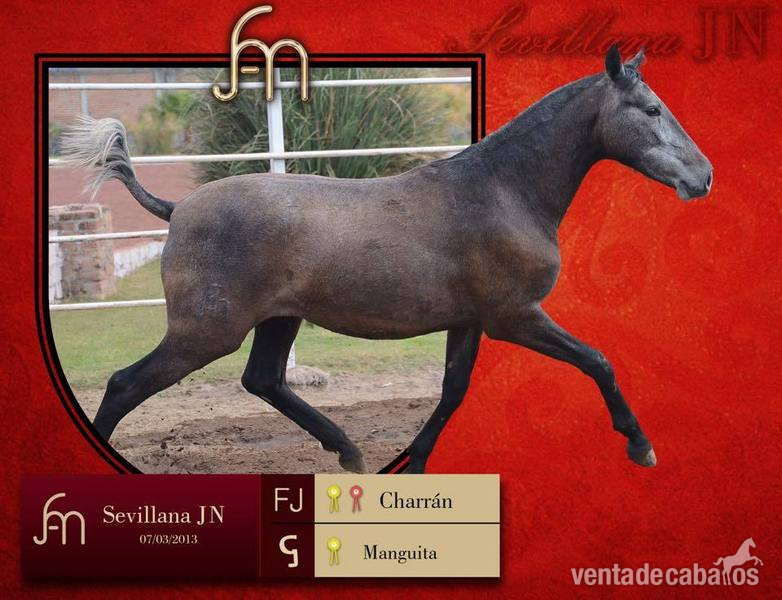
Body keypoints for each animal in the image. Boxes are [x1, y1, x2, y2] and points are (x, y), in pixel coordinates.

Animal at [62, 45, 712, 473]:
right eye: (651, 110)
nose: (703, 176)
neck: (504, 191)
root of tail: (177, 210)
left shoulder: (468, 321)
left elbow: (452, 392)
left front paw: (414, 465)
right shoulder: (515, 316)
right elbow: (598, 360)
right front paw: (641, 446)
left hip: (278, 320)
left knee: (263, 379)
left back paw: (348, 452)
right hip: (206, 331)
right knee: (125, 384)